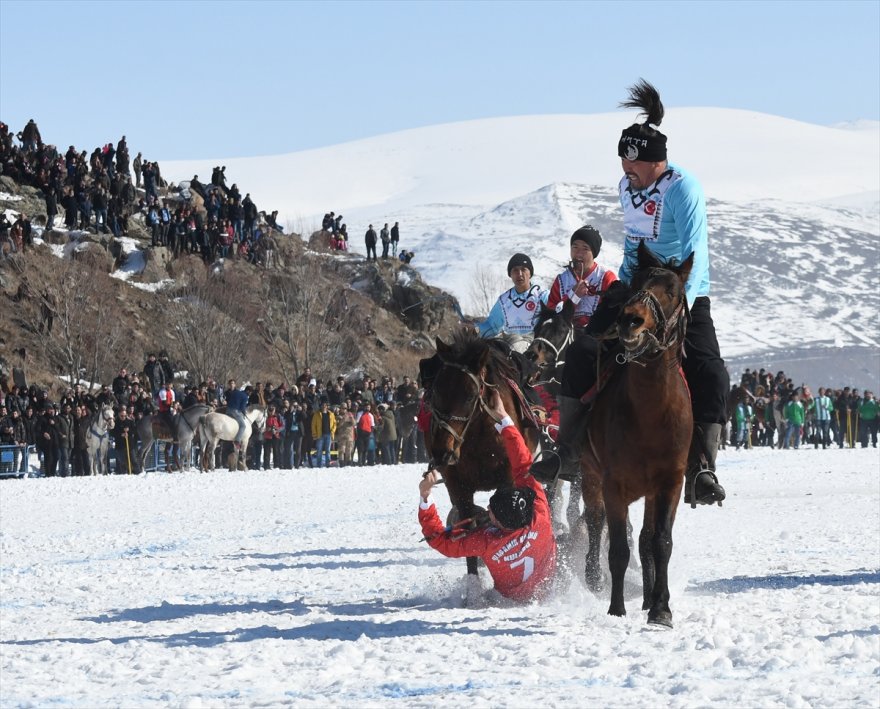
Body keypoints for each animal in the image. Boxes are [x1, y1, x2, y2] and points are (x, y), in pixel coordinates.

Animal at [580, 242, 696, 624]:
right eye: (636, 285)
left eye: (673, 291)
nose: (631, 319)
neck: (650, 416)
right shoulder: (613, 485)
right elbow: (618, 548)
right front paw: (616, 608)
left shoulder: (670, 483)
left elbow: (659, 542)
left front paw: (660, 607)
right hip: (590, 476)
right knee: (595, 523)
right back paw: (595, 578)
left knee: (645, 540)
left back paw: (646, 598)